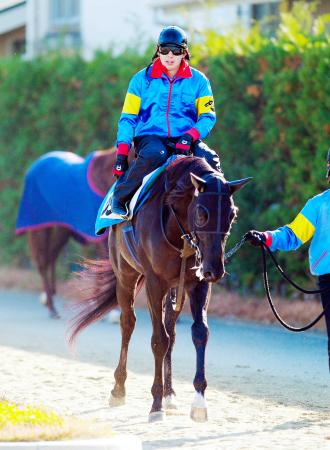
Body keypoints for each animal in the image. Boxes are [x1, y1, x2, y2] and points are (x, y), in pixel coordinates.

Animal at [15, 146, 135, 318]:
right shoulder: (99, 238)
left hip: (62, 230)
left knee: (52, 257)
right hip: (40, 229)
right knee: (43, 262)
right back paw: (51, 307)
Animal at [69, 156, 250, 424]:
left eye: (232, 214)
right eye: (201, 213)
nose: (215, 269)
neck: (177, 225)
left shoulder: (198, 284)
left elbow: (199, 333)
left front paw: (198, 402)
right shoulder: (155, 284)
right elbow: (158, 340)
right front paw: (155, 404)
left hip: (176, 289)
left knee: (171, 331)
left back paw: (170, 394)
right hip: (125, 276)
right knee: (128, 323)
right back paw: (119, 389)